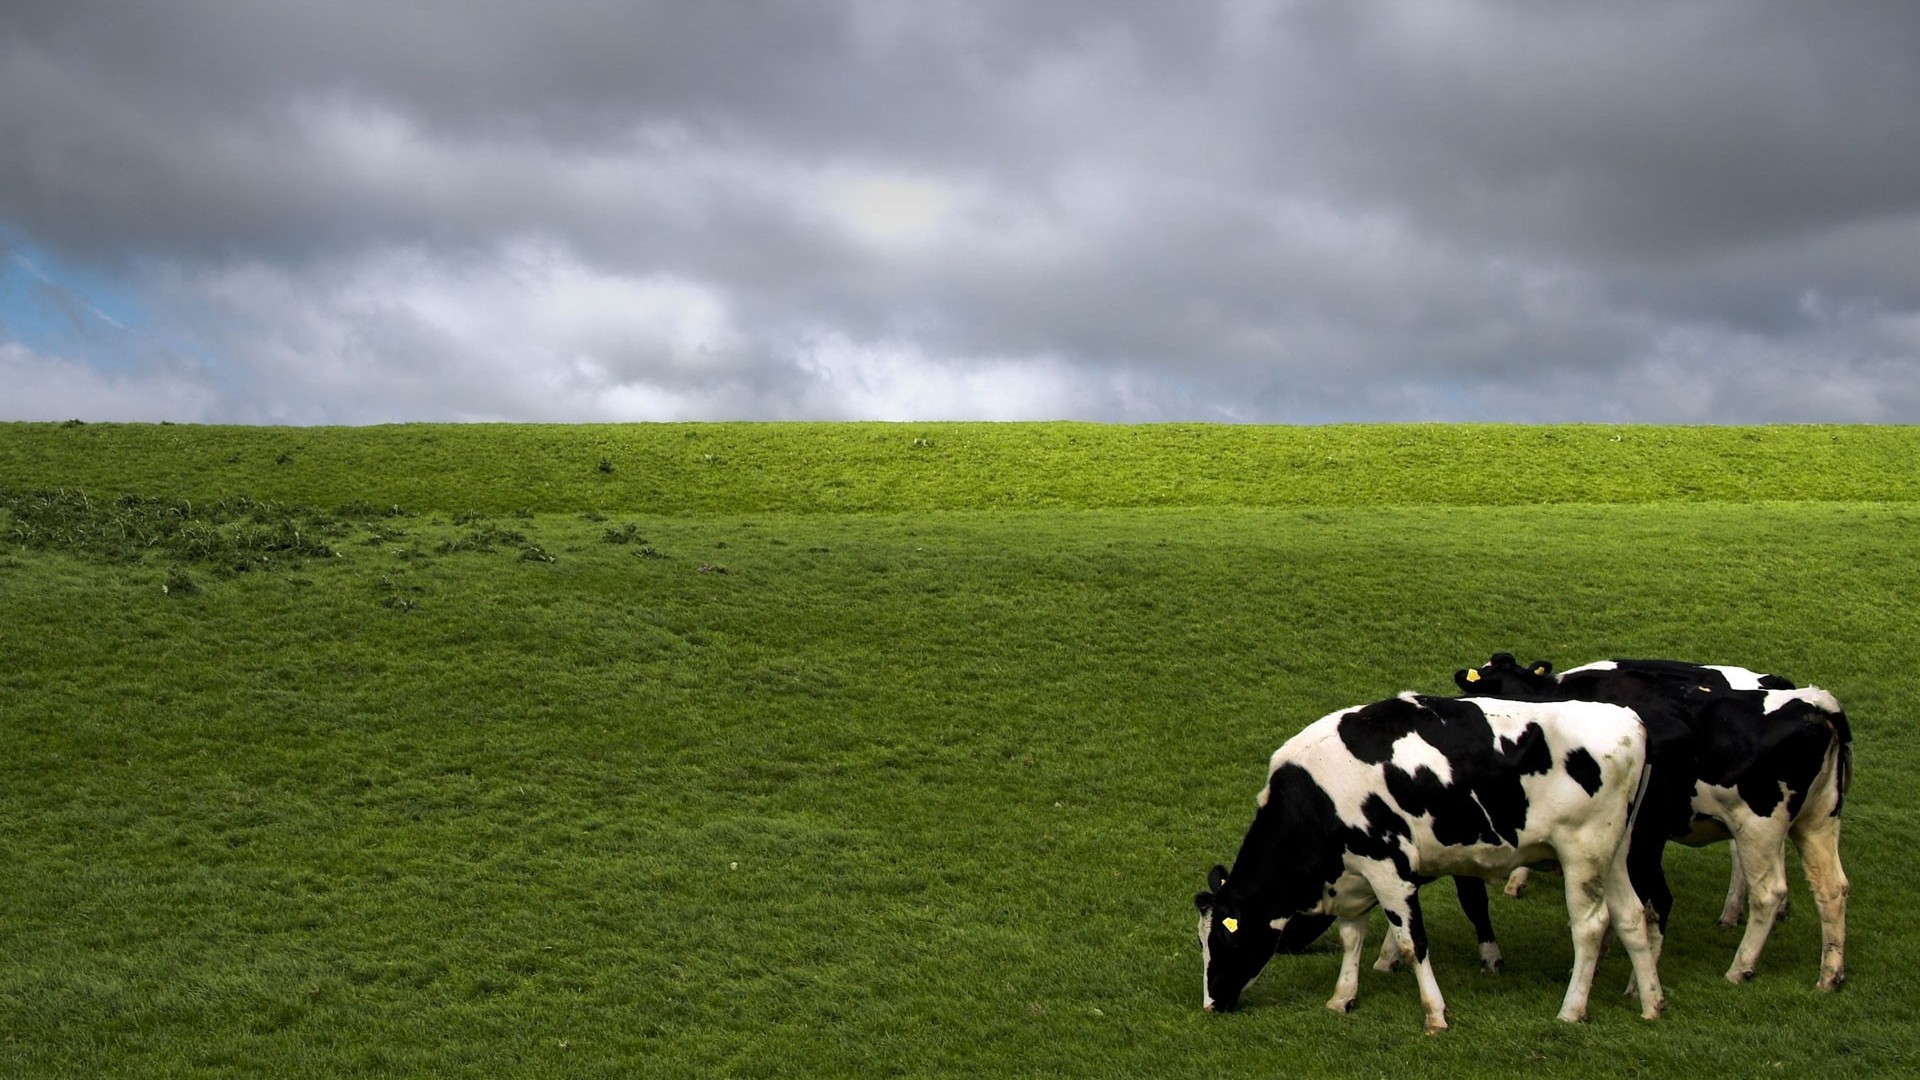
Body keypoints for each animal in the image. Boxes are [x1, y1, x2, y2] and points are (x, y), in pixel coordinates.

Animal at [1194, 692, 1665, 1033]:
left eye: (1222, 941)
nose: (1212, 1004)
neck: (1316, 797)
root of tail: (1630, 719)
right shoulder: (1355, 877)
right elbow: (1351, 939)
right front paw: (1342, 997)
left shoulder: (1389, 870)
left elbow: (1412, 943)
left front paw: (1435, 1014)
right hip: (1615, 851)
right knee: (1632, 916)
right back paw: (1651, 1002)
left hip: (1582, 852)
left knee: (1590, 926)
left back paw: (1572, 1009)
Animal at [1455, 654, 1850, 990]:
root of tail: (1815, 704)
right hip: (1817, 821)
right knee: (1832, 888)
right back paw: (1829, 975)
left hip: (1759, 824)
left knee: (1767, 892)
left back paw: (1741, 966)